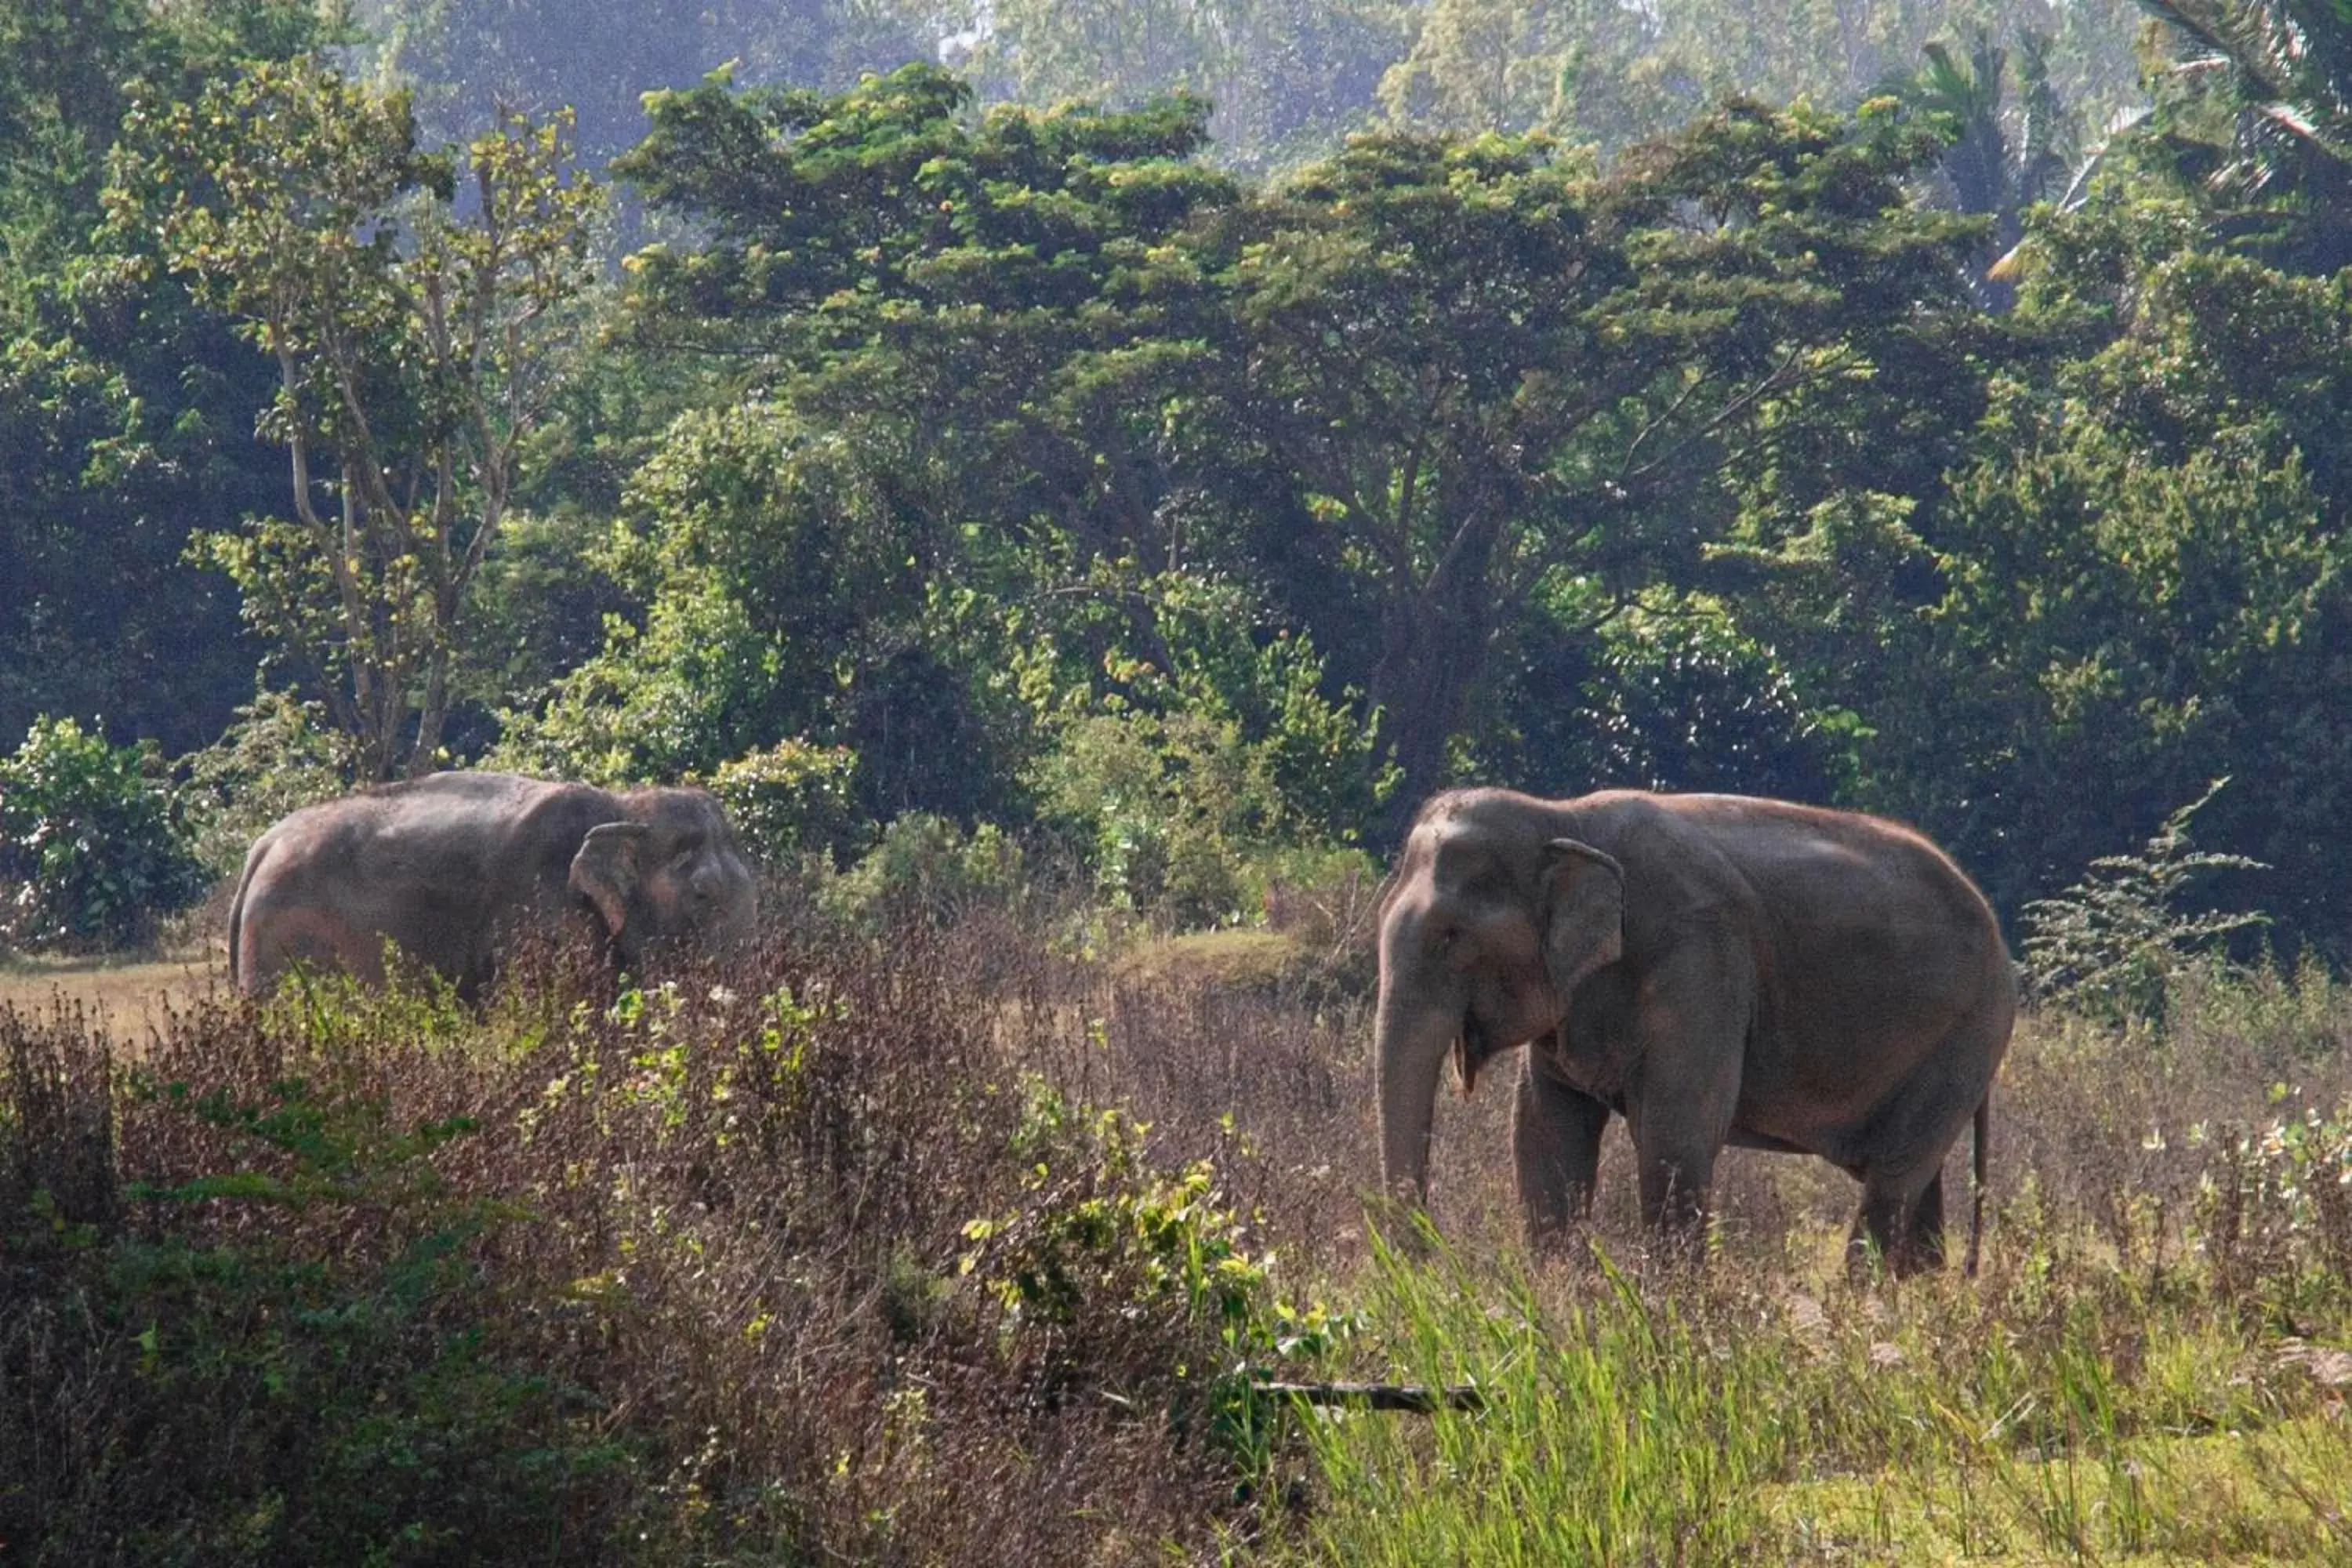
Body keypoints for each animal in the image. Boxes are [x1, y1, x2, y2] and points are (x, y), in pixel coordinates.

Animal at [1374, 785, 2023, 1279]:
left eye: (1451, 936)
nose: (1428, 1264)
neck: (1563, 815)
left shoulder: (1702, 964)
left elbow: (1675, 1138)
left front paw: (1670, 1311)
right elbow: (1546, 1132)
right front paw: (1561, 1295)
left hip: (1970, 1034)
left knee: (1893, 1180)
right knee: (1916, 1191)